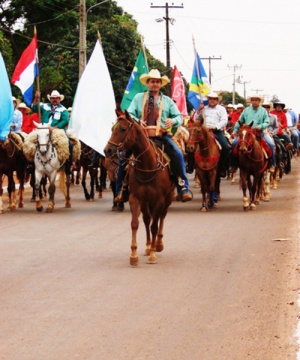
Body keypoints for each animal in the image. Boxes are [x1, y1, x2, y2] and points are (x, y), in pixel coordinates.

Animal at [104, 111, 175, 266]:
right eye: (112, 129)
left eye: (123, 129)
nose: (107, 150)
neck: (147, 166)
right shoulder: (135, 198)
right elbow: (135, 224)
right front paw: (134, 255)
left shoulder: (159, 200)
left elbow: (155, 226)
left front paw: (153, 254)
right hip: (145, 201)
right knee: (147, 219)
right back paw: (148, 246)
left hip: (167, 199)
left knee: (161, 217)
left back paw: (158, 244)